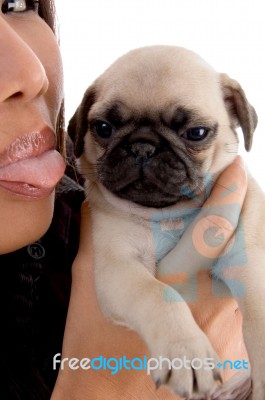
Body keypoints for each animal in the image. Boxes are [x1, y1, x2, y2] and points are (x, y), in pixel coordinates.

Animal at [67, 45, 262, 398]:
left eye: (196, 133)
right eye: (103, 128)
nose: (142, 146)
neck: (169, 215)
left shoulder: (251, 263)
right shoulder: (120, 266)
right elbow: (157, 294)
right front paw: (186, 353)